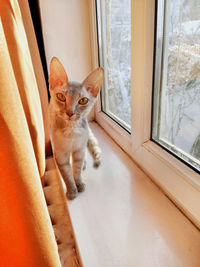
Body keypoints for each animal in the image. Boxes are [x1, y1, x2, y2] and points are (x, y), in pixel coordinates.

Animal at [49, 57, 104, 200]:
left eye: (83, 100)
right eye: (61, 97)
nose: (70, 112)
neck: (71, 133)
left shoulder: (79, 149)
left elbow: (76, 170)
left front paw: (78, 184)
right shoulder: (60, 154)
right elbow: (67, 175)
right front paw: (72, 190)